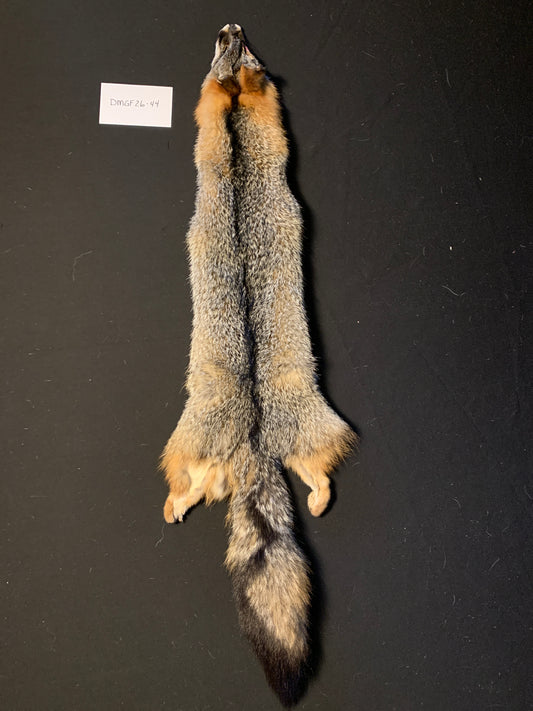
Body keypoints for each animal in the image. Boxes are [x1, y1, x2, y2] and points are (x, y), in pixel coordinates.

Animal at [161, 24, 356, 706]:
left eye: (237, 52)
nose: (231, 26)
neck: (240, 137)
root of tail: (252, 436)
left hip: (202, 449)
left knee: (193, 484)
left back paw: (172, 507)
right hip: (288, 446)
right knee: (302, 477)